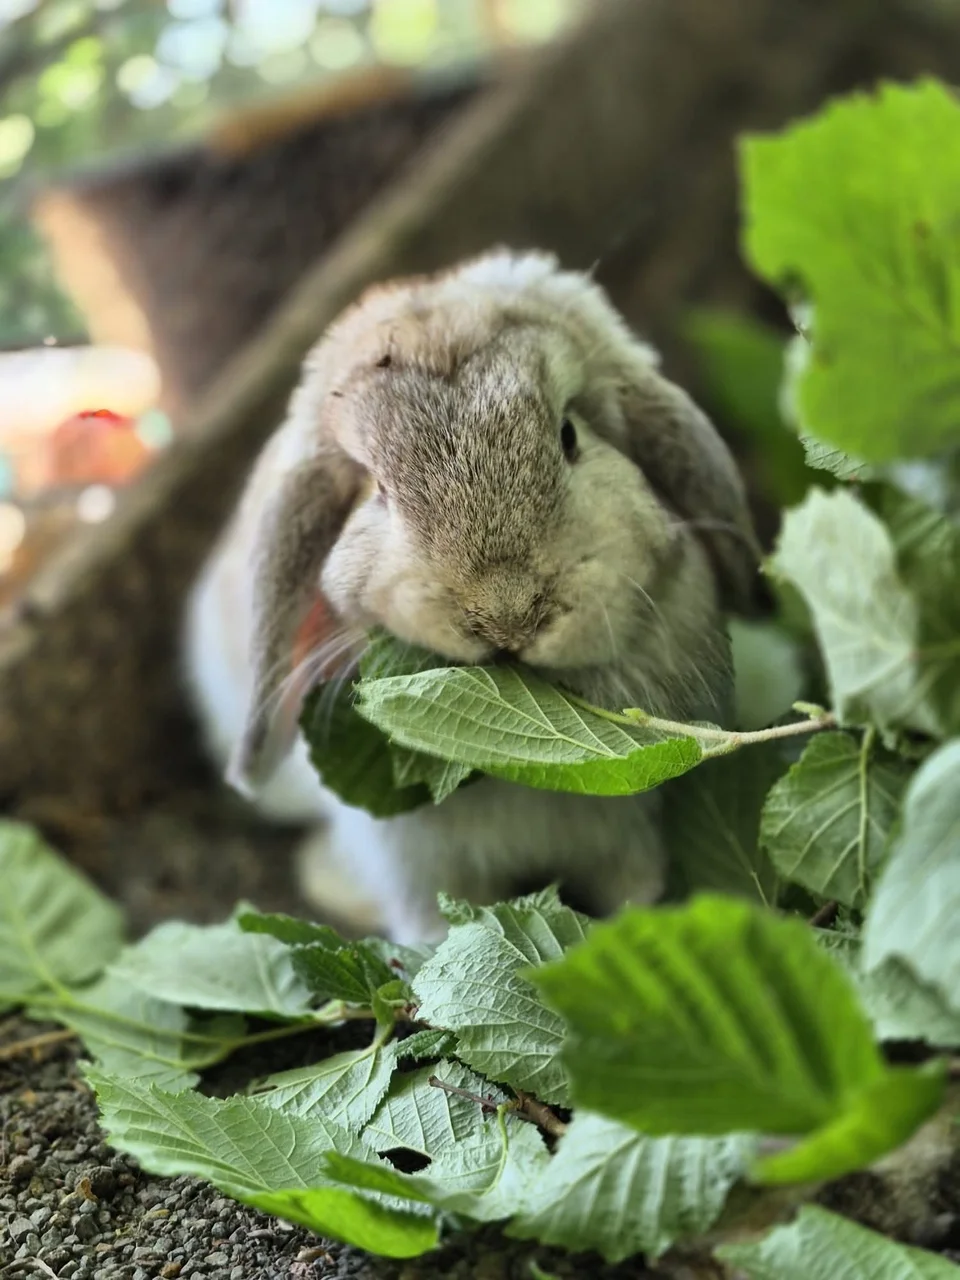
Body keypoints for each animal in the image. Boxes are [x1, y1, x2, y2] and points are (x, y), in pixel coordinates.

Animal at [184, 249, 760, 944]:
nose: (508, 615)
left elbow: (636, 888)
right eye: (377, 489)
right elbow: (433, 924)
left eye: (569, 435)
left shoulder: (634, 830)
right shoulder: (416, 863)